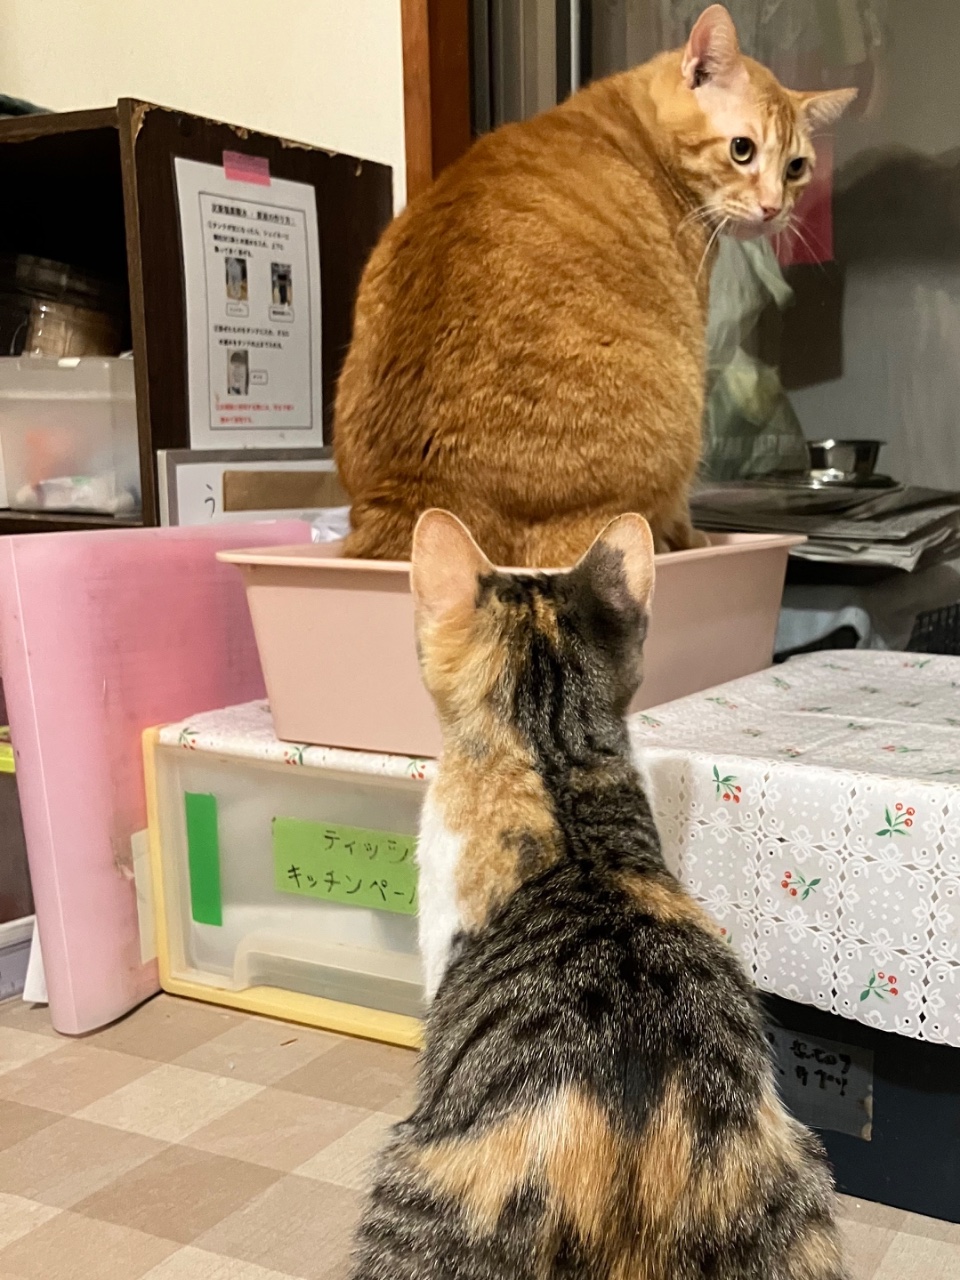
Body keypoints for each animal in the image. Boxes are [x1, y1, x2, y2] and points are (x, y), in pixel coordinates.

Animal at [334, 5, 855, 567]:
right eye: (743, 150)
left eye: (796, 167)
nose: (773, 208)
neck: (633, 125)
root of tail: (418, 491)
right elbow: (683, 514)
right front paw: (698, 539)